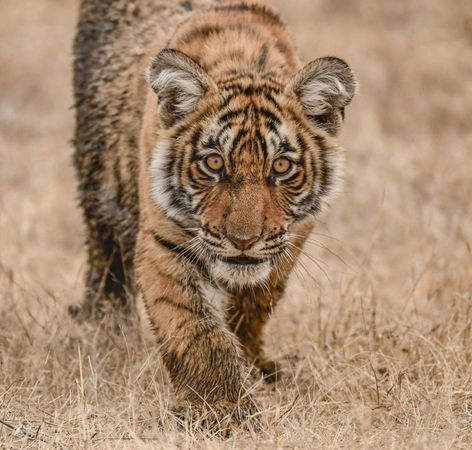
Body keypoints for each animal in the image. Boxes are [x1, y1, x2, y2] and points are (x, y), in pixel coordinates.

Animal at [72, 0, 356, 426]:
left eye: (281, 167)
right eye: (213, 162)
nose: (243, 240)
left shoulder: (292, 239)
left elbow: (256, 303)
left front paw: (253, 365)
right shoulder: (164, 244)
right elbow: (196, 328)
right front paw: (223, 409)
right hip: (98, 174)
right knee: (104, 257)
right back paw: (102, 327)